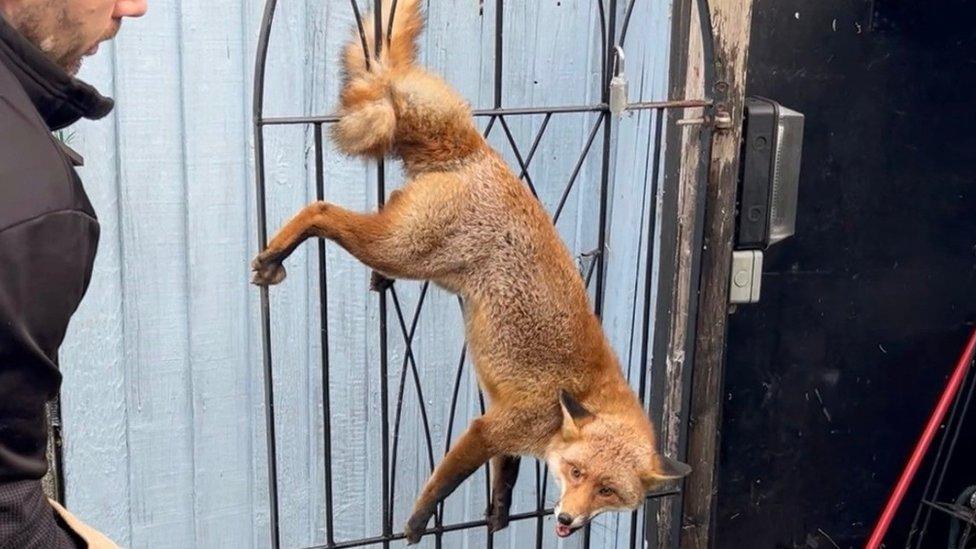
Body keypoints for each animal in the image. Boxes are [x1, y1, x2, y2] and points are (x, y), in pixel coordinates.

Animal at [252, 0, 692, 540]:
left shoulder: (505, 426)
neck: (565, 407)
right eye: (576, 473)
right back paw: (274, 256)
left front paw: (499, 513)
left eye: (608, 491)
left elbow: (506, 474)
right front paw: (418, 520)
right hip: (403, 248)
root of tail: (480, 152)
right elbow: (447, 478)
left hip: (426, 259)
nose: (565, 519)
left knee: (385, 202)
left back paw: (375, 277)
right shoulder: (494, 426)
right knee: (320, 210)